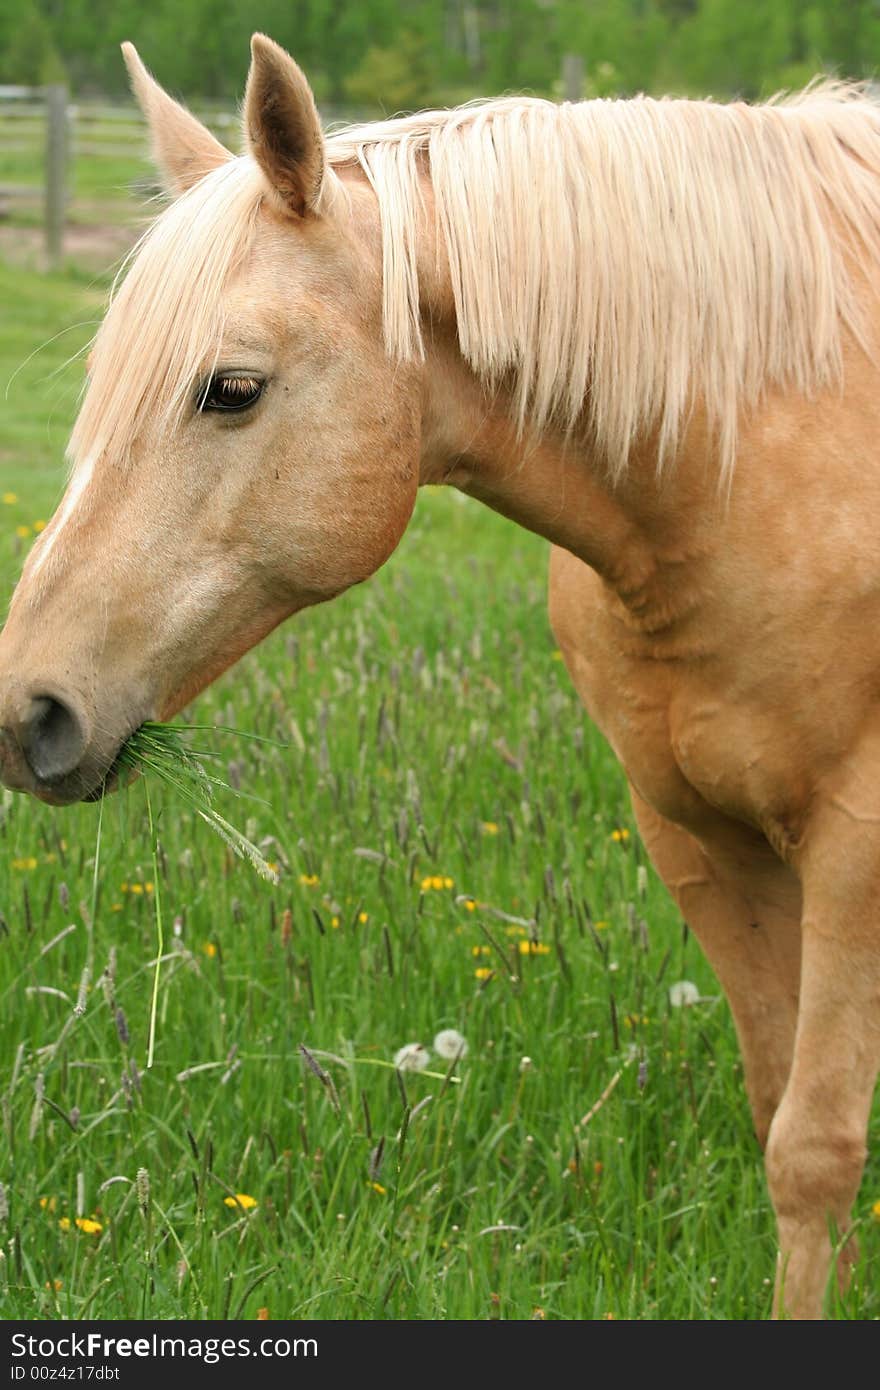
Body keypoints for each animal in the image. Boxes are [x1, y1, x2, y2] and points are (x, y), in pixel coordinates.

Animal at [1, 32, 878, 1312]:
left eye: (230, 388)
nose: (28, 709)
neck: (757, 450)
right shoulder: (700, 841)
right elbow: (782, 1113)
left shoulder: (853, 852)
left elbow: (815, 1148)